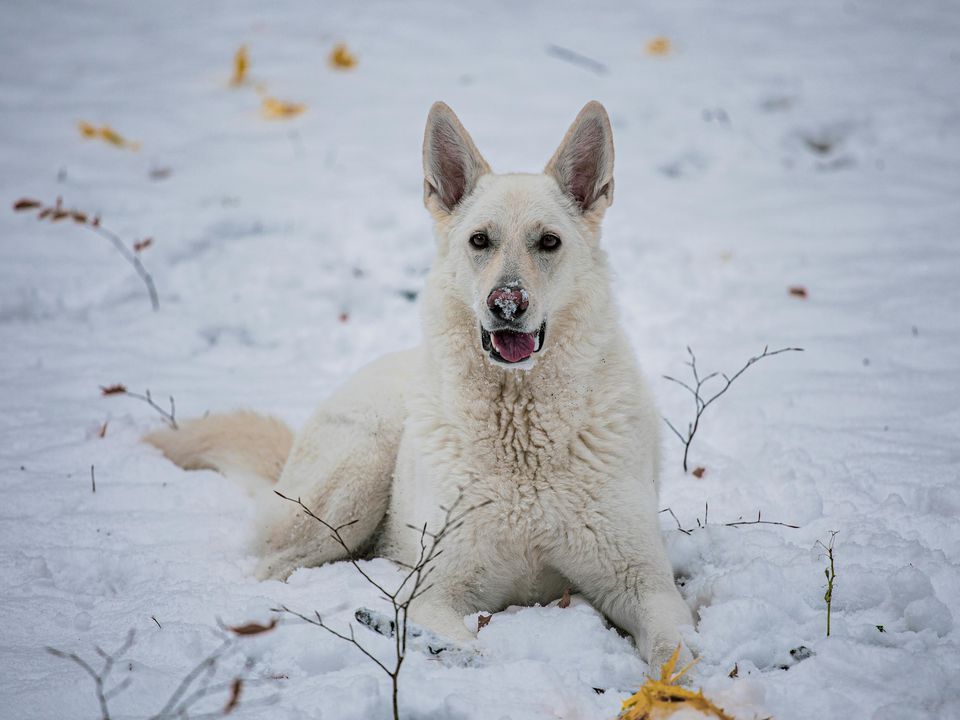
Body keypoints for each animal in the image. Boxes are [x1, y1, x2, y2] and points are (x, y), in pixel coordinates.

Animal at [146, 100, 692, 668]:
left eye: (549, 242)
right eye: (480, 241)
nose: (506, 305)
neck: (521, 428)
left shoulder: (646, 587)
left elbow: (674, 656)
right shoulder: (436, 590)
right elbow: (472, 651)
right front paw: (425, 641)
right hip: (356, 478)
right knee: (278, 565)